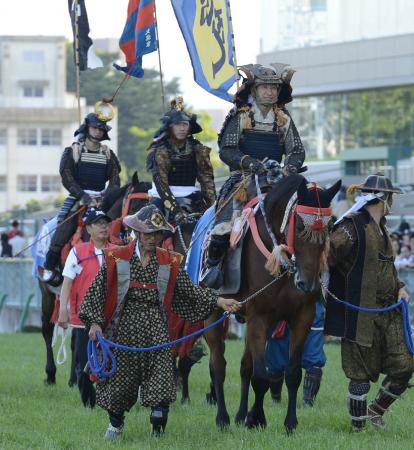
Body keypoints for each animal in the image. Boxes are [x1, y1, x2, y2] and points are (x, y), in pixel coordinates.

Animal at [202, 175, 342, 432]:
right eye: (300, 227)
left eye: (328, 228)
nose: (308, 284)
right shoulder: (259, 316)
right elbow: (260, 377)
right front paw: (257, 419)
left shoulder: (302, 317)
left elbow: (292, 373)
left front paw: (289, 423)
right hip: (214, 312)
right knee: (218, 366)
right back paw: (223, 418)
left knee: (245, 366)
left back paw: (239, 415)